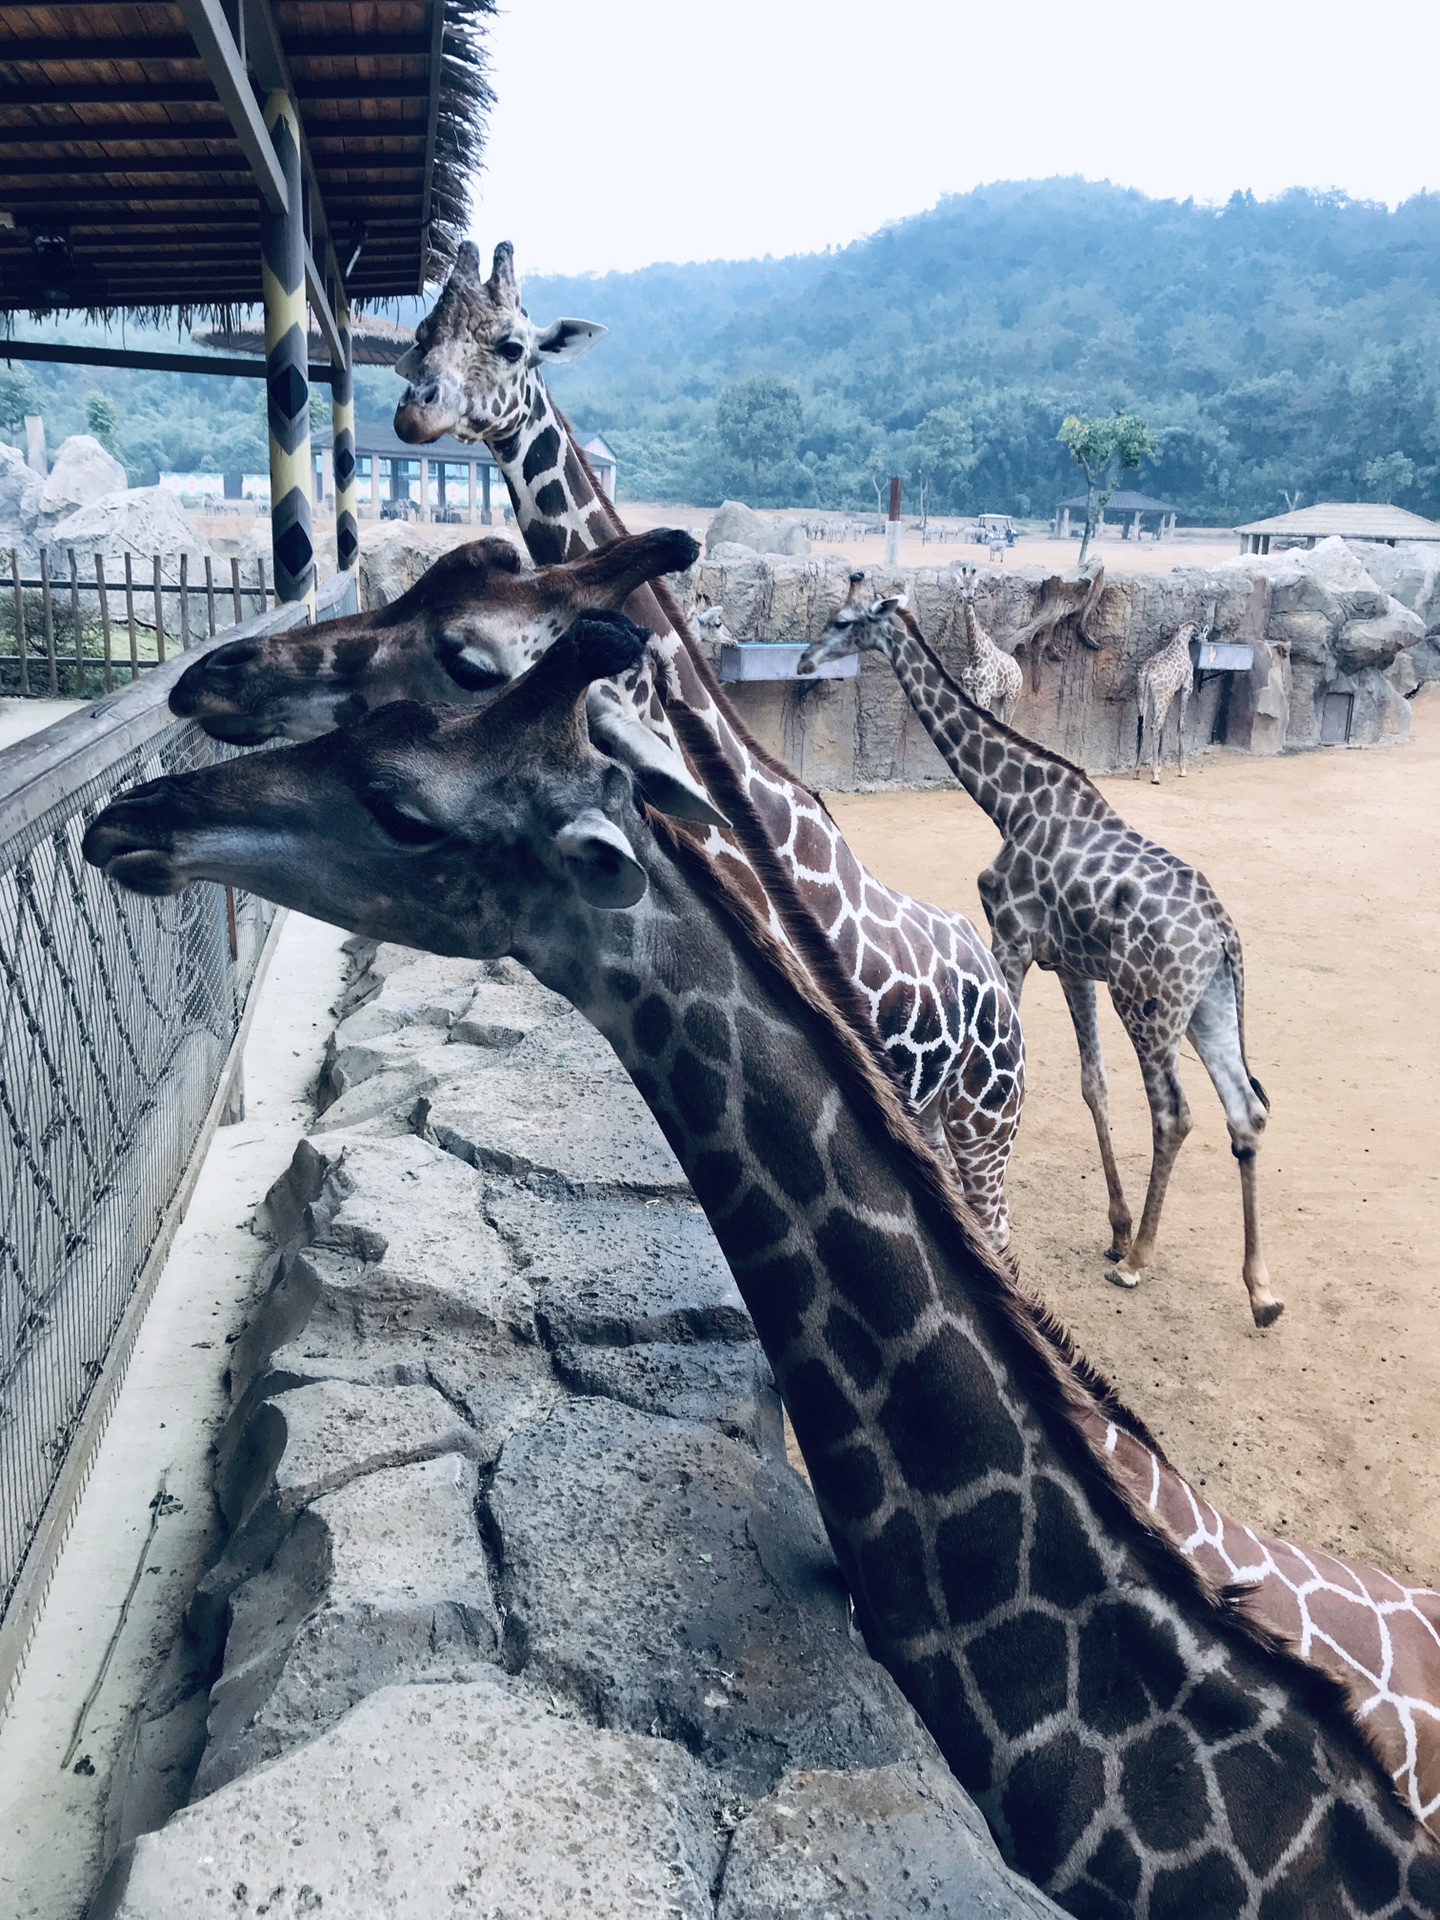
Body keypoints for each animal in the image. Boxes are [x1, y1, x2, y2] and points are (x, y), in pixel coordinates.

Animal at [960, 564, 1029, 729]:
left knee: (1008, 722)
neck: (975, 655)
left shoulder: (984, 692)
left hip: (1012, 694)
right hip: (999, 697)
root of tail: (1019, 669)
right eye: (961, 587)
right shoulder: (969, 690)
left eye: (975, 587)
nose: (969, 599)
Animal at [1136, 622, 1198, 787]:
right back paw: (1155, 777)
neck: (1180, 642)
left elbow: (1165, 726)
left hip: (1145, 694)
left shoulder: (1172, 693)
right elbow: (1180, 725)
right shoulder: (1187, 686)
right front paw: (1182, 769)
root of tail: (1148, 673)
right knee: (1154, 726)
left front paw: (1158, 766)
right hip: (1162, 695)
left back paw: (1137, 771)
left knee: (1143, 725)